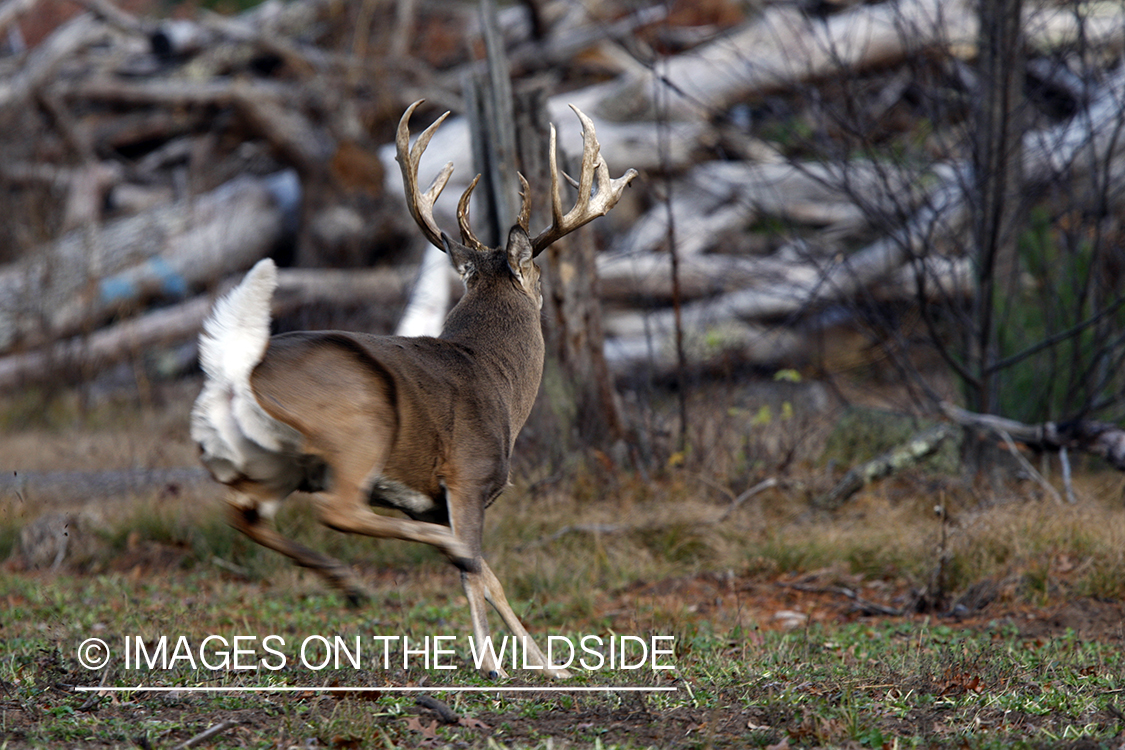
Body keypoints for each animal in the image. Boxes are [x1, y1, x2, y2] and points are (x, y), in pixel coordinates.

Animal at [189, 101, 639, 679]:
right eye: (537, 273)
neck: (496, 378)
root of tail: (233, 377)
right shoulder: (467, 477)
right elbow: (479, 574)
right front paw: (496, 662)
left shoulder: (436, 501)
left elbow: (490, 578)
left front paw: (545, 665)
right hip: (359, 424)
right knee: (337, 511)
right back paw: (413, 559)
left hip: (269, 463)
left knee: (245, 516)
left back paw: (348, 582)